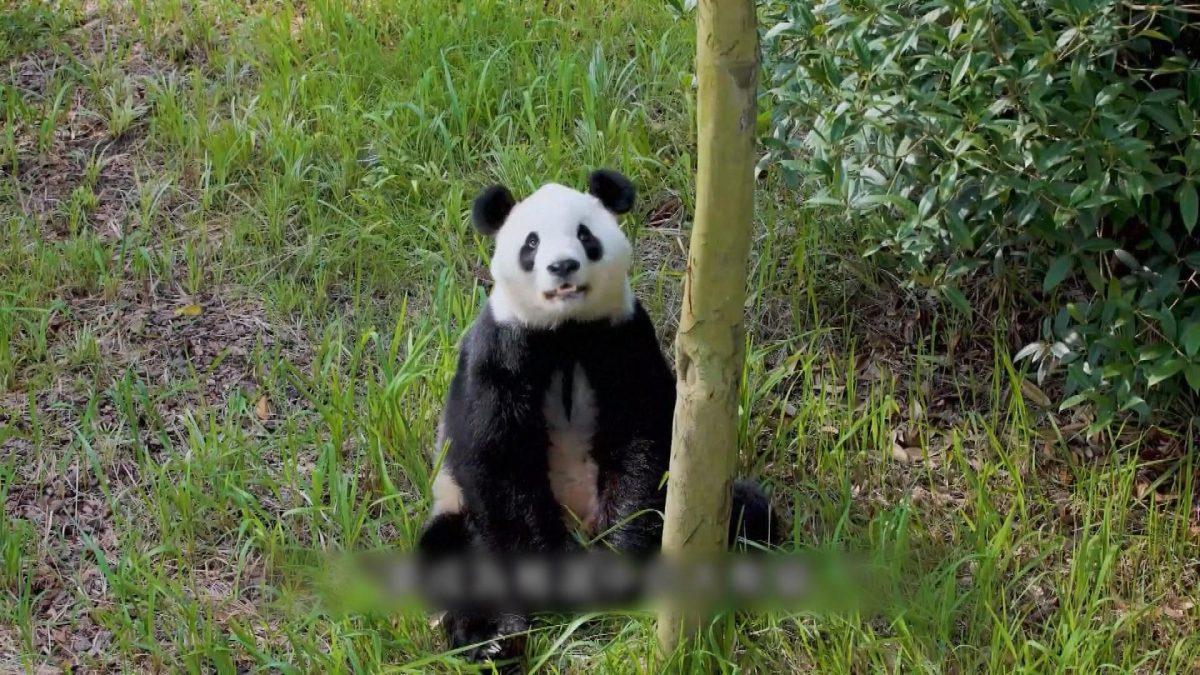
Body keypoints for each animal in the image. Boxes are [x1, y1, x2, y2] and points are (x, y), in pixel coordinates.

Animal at [416, 168, 782, 667]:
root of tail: (580, 524)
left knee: (747, 514)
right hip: (458, 510)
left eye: (585, 235)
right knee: (452, 554)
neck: (566, 331)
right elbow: (497, 457)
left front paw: (616, 565)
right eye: (531, 243)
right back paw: (493, 639)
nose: (562, 266)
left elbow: (644, 443)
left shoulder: (624, 337)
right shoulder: (499, 348)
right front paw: (556, 582)